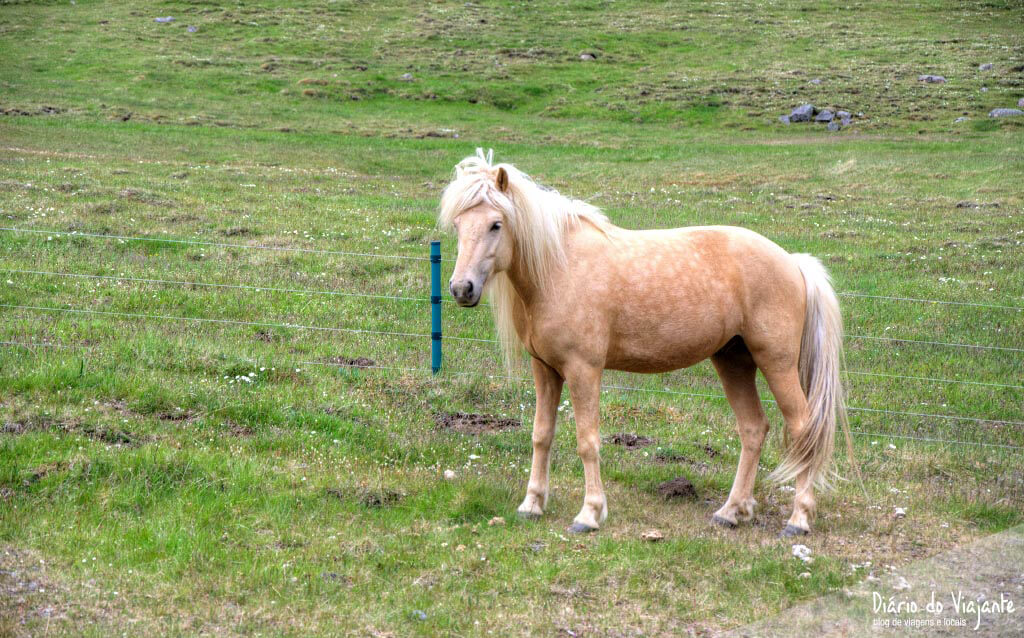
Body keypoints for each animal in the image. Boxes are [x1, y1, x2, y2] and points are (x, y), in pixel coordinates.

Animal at [439, 149, 850, 536]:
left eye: (496, 224)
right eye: (458, 224)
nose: (462, 289)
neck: (559, 267)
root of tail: (792, 261)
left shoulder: (583, 370)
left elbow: (587, 440)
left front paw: (589, 514)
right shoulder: (545, 369)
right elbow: (542, 435)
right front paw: (532, 505)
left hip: (776, 363)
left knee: (803, 429)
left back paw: (799, 518)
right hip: (733, 360)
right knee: (752, 429)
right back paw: (732, 512)